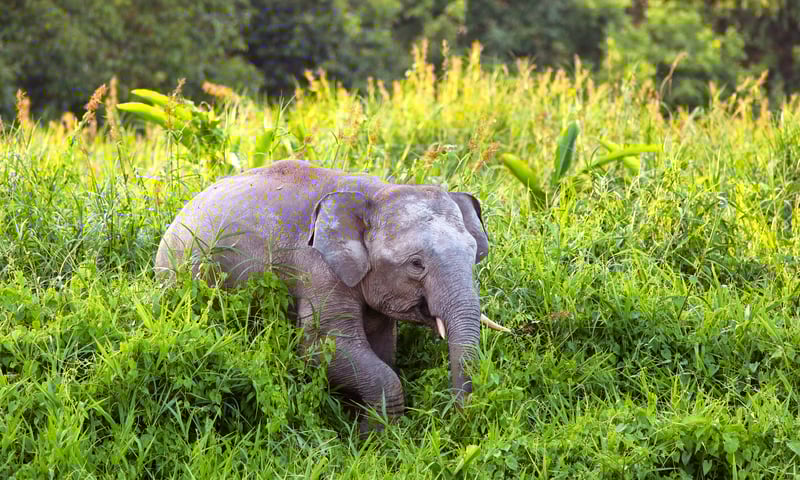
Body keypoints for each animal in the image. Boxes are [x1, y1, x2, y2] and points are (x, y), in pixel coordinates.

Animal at [154, 159, 506, 430]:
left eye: (474, 254)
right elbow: (319, 348)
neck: (376, 193)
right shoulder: (317, 270)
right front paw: (371, 441)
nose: (457, 416)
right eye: (416, 264)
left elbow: (382, 347)